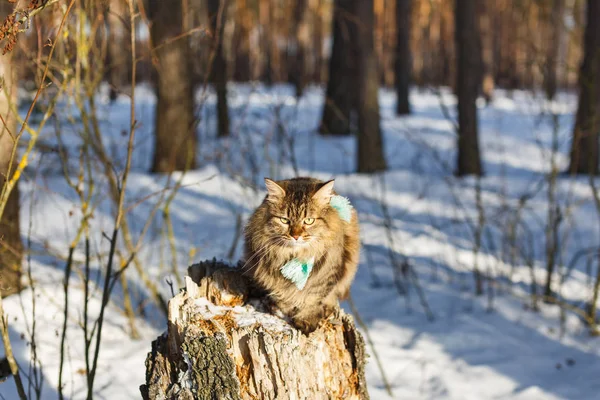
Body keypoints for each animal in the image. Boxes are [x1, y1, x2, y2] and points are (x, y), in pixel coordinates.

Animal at [241, 178, 358, 334]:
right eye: (284, 220)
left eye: (308, 220)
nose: (296, 236)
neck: (296, 256)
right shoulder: (274, 279)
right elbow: (284, 297)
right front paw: (283, 312)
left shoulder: (325, 277)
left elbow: (312, 300)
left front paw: (305, 320)